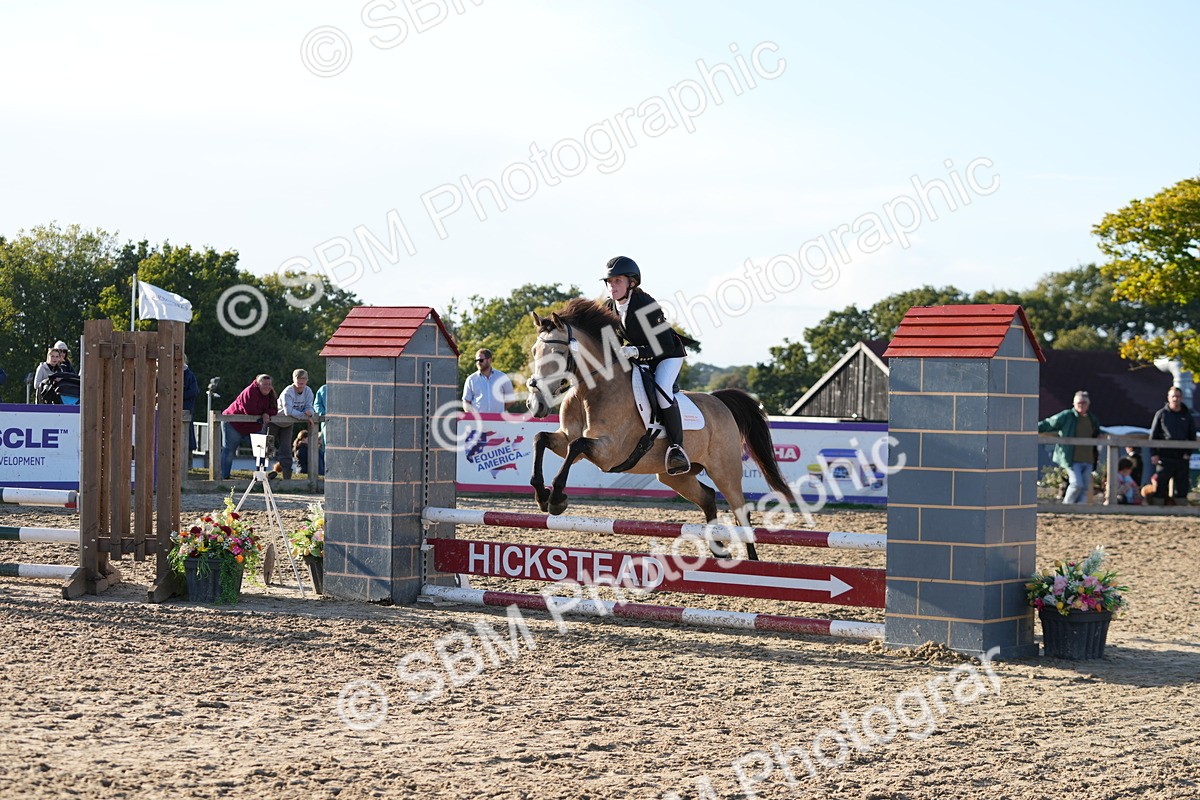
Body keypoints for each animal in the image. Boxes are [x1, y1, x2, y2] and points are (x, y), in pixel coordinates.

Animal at [526, 298, 796, 560]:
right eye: (534, 351)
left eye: (558, 354)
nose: (533, 403)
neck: (589, 390)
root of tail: (719, 402)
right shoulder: (568, 439)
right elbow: (543, 439)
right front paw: (542, 494)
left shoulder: (608, 452)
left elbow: (576, 445)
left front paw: (556, 499)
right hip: (675, 476)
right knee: (708, 497)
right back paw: (719, 550)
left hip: (725, 471)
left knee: (741, 513)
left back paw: (751, 559)